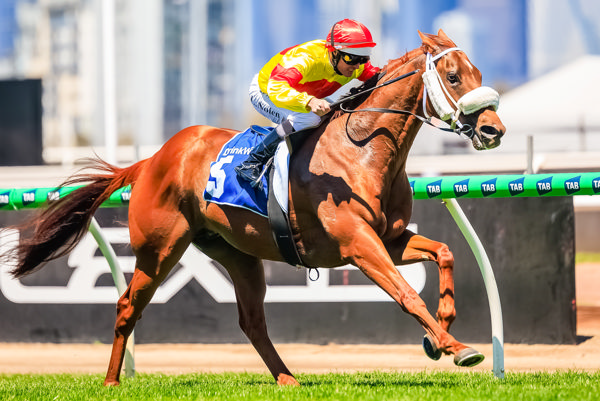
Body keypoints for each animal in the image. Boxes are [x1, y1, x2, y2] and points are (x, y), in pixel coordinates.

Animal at [5, 29, 506, 382]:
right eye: (454, 76)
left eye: (479, 74)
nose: (493, 130)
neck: (361, 150)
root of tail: (152, 159)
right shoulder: (357, 244)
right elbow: (405, 293)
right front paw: (455, 347)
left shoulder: (389, 237)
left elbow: (445, 252)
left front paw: (439, 332)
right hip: (159, 249)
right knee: (128, 305)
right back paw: (111, 381)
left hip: (237, 253)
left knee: (252, 321)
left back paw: (288, 379)